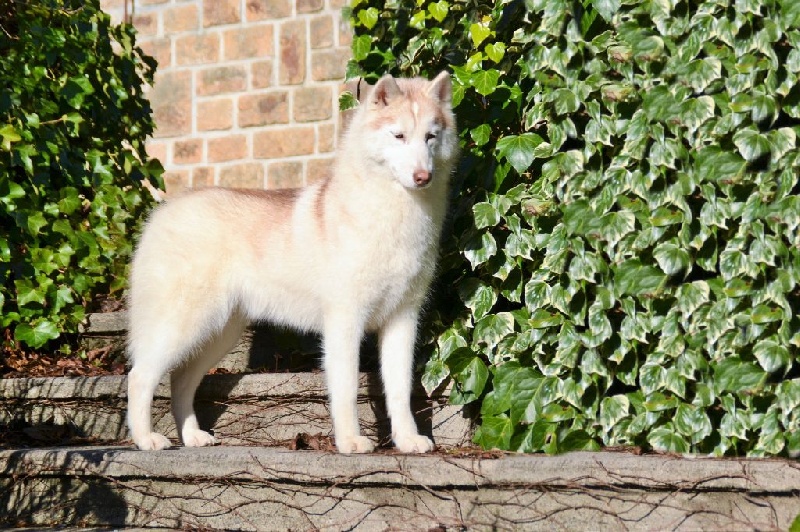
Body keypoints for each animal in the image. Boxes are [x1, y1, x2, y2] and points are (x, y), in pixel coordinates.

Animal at [126, 72, 458, 454]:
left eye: (431, 136)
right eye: (399, 135)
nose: (423, 177)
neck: (393, 212)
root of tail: (163, 211)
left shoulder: (403, 319)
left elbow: (400, 390)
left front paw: (406, 440)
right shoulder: (345, 319)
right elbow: (346, 389)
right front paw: (350, 441)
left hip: (220, 331)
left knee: (181, 379)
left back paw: (192, 436)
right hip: (184, 323)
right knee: (140, 377)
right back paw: (145, 438)